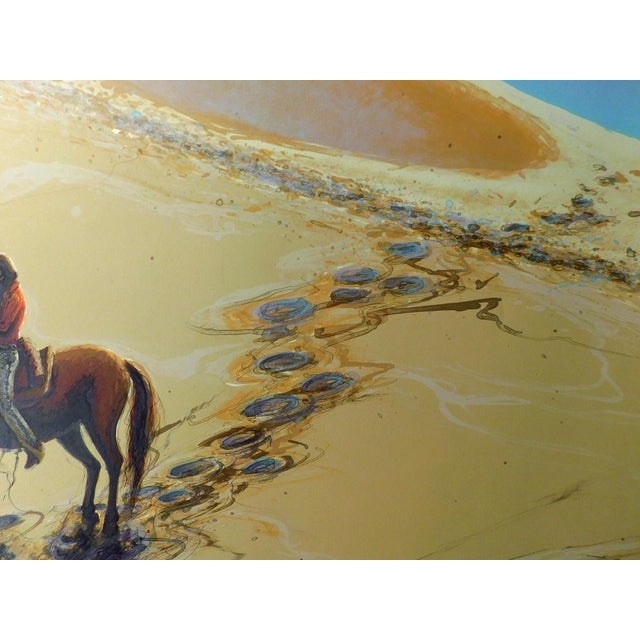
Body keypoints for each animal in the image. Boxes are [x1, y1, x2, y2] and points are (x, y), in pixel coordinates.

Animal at [0, 344, 158, 539]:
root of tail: (122, 361)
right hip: (70, 433)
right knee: (93, 464)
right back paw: (88, 512)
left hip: (99, 425)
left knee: (113, 462)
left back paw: (109, 523)